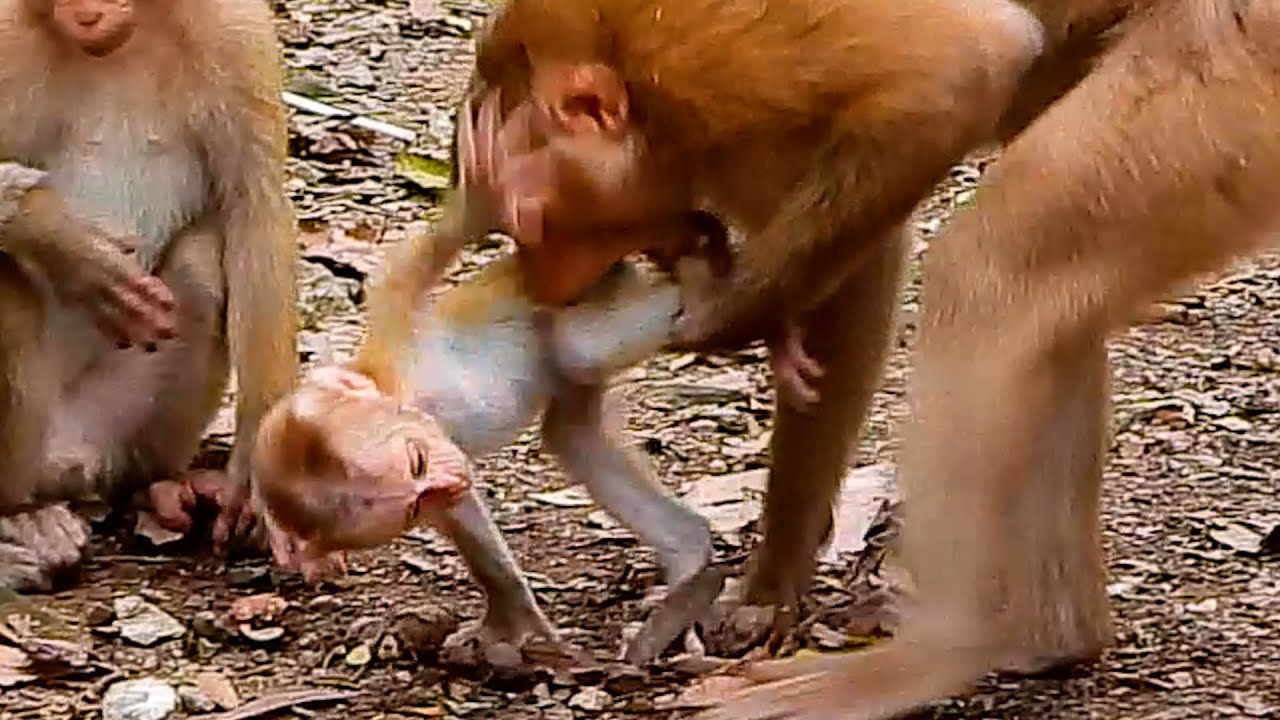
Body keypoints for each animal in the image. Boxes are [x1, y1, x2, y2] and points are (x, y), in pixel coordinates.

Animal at [0, 0, 297, 592]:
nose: (87, 12)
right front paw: (66, 246)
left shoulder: (235, 37)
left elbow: (254, 211)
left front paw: (258, 471)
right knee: (7, 278)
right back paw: (21, 521)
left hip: (114, 424)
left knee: (204, 258)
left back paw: (155, 488)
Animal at [250, 207, 734, 667]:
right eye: (414, 503)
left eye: (416, 460)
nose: (445, 483)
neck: (409, 392)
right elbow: (465, 516)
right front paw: (508, 616)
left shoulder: (394, 319)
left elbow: (433, 249)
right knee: (571, 431)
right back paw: (690, 561)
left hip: (601, 290)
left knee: (579, 347)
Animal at [453, 0, 1280, 718]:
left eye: (531, 217)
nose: (540, 279)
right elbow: (857, 279)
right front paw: (772, 583)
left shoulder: (722, 69)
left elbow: (967, 65)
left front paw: (726, 319)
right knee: (1046, 310)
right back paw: (1048, 638)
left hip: (1234, 75)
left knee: (994, 274)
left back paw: (933, 654)